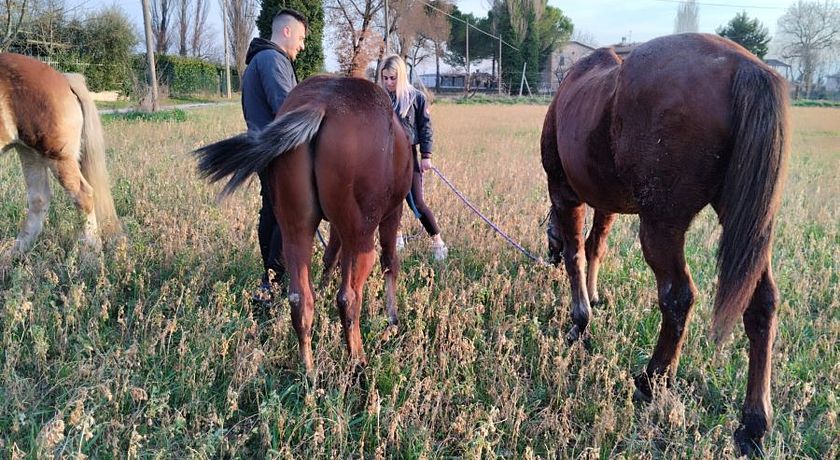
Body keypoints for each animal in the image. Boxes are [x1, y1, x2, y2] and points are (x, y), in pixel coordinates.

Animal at [0, 53, 121, 258]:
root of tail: (64, 78)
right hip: (29, 151)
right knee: (39, 199)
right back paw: (13, 254)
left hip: (57, 156)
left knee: (83, 196)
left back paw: (90, 255)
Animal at [191, 75, 414, 376]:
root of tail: (321, 104)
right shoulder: (392, 213)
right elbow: (390, 262)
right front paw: (392, 322)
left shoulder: (335, 228)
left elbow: (330, 257)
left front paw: (323, 285)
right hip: (361, 235)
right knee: (349, 297)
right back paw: (358, 361)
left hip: (295, 228)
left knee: (299, 298)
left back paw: (308, 371)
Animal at [540, 34, 792, 454]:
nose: (547, 257)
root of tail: (743, 65)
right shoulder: (606, 204)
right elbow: (596, 247)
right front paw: (594, 298)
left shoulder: (565, 194)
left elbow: (577, 252)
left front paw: (580, 319)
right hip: (748, 229)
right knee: (761, 306)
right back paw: (753, 424)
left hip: (661, 226)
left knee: (678, 296)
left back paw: (652, 380)